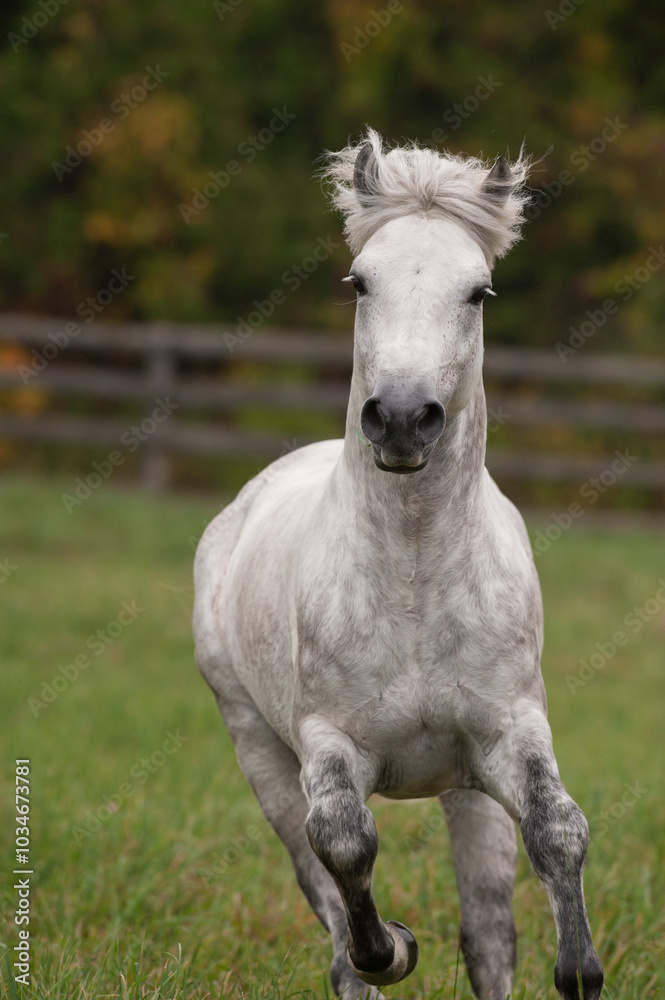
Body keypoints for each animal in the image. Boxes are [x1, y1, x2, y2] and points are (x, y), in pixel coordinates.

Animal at [193, 129, 604, 1000]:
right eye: (359, 282)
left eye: (478, 292)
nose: (404, 418)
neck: (413, 583)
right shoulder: (327, 746)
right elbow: (345, 842)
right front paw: (397, 948)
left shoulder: (508, 732)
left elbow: (556, 830)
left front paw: (579, 968)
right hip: (259, 752)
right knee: (327, 907)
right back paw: (374, 953)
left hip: (465, 788)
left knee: (487, 934)